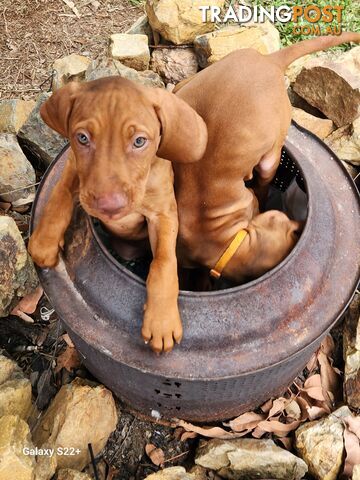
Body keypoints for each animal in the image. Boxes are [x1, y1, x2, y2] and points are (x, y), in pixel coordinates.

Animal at [27, 78, 207, 352]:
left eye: (139, 141)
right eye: (82, 138)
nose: (109, 206)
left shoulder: (163, 215)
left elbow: (163, 262)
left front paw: (161, 320)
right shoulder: (74, 170)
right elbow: (59, 198)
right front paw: (44, 241)